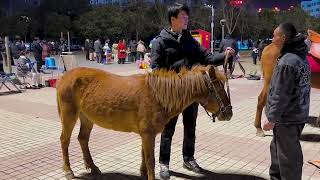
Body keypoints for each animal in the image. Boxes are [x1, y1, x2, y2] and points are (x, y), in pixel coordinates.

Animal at [57, 65, 232, 179]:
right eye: (219, 86)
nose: (229, 113)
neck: (158, 95)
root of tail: (65, 76)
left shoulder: (145, 134)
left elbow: (144, 156)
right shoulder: (148, 134)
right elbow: (150, 160)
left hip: (87, 118)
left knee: (83, 139)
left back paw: (92, 167)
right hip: (69, 115)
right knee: (65, 140)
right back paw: (68, 171)